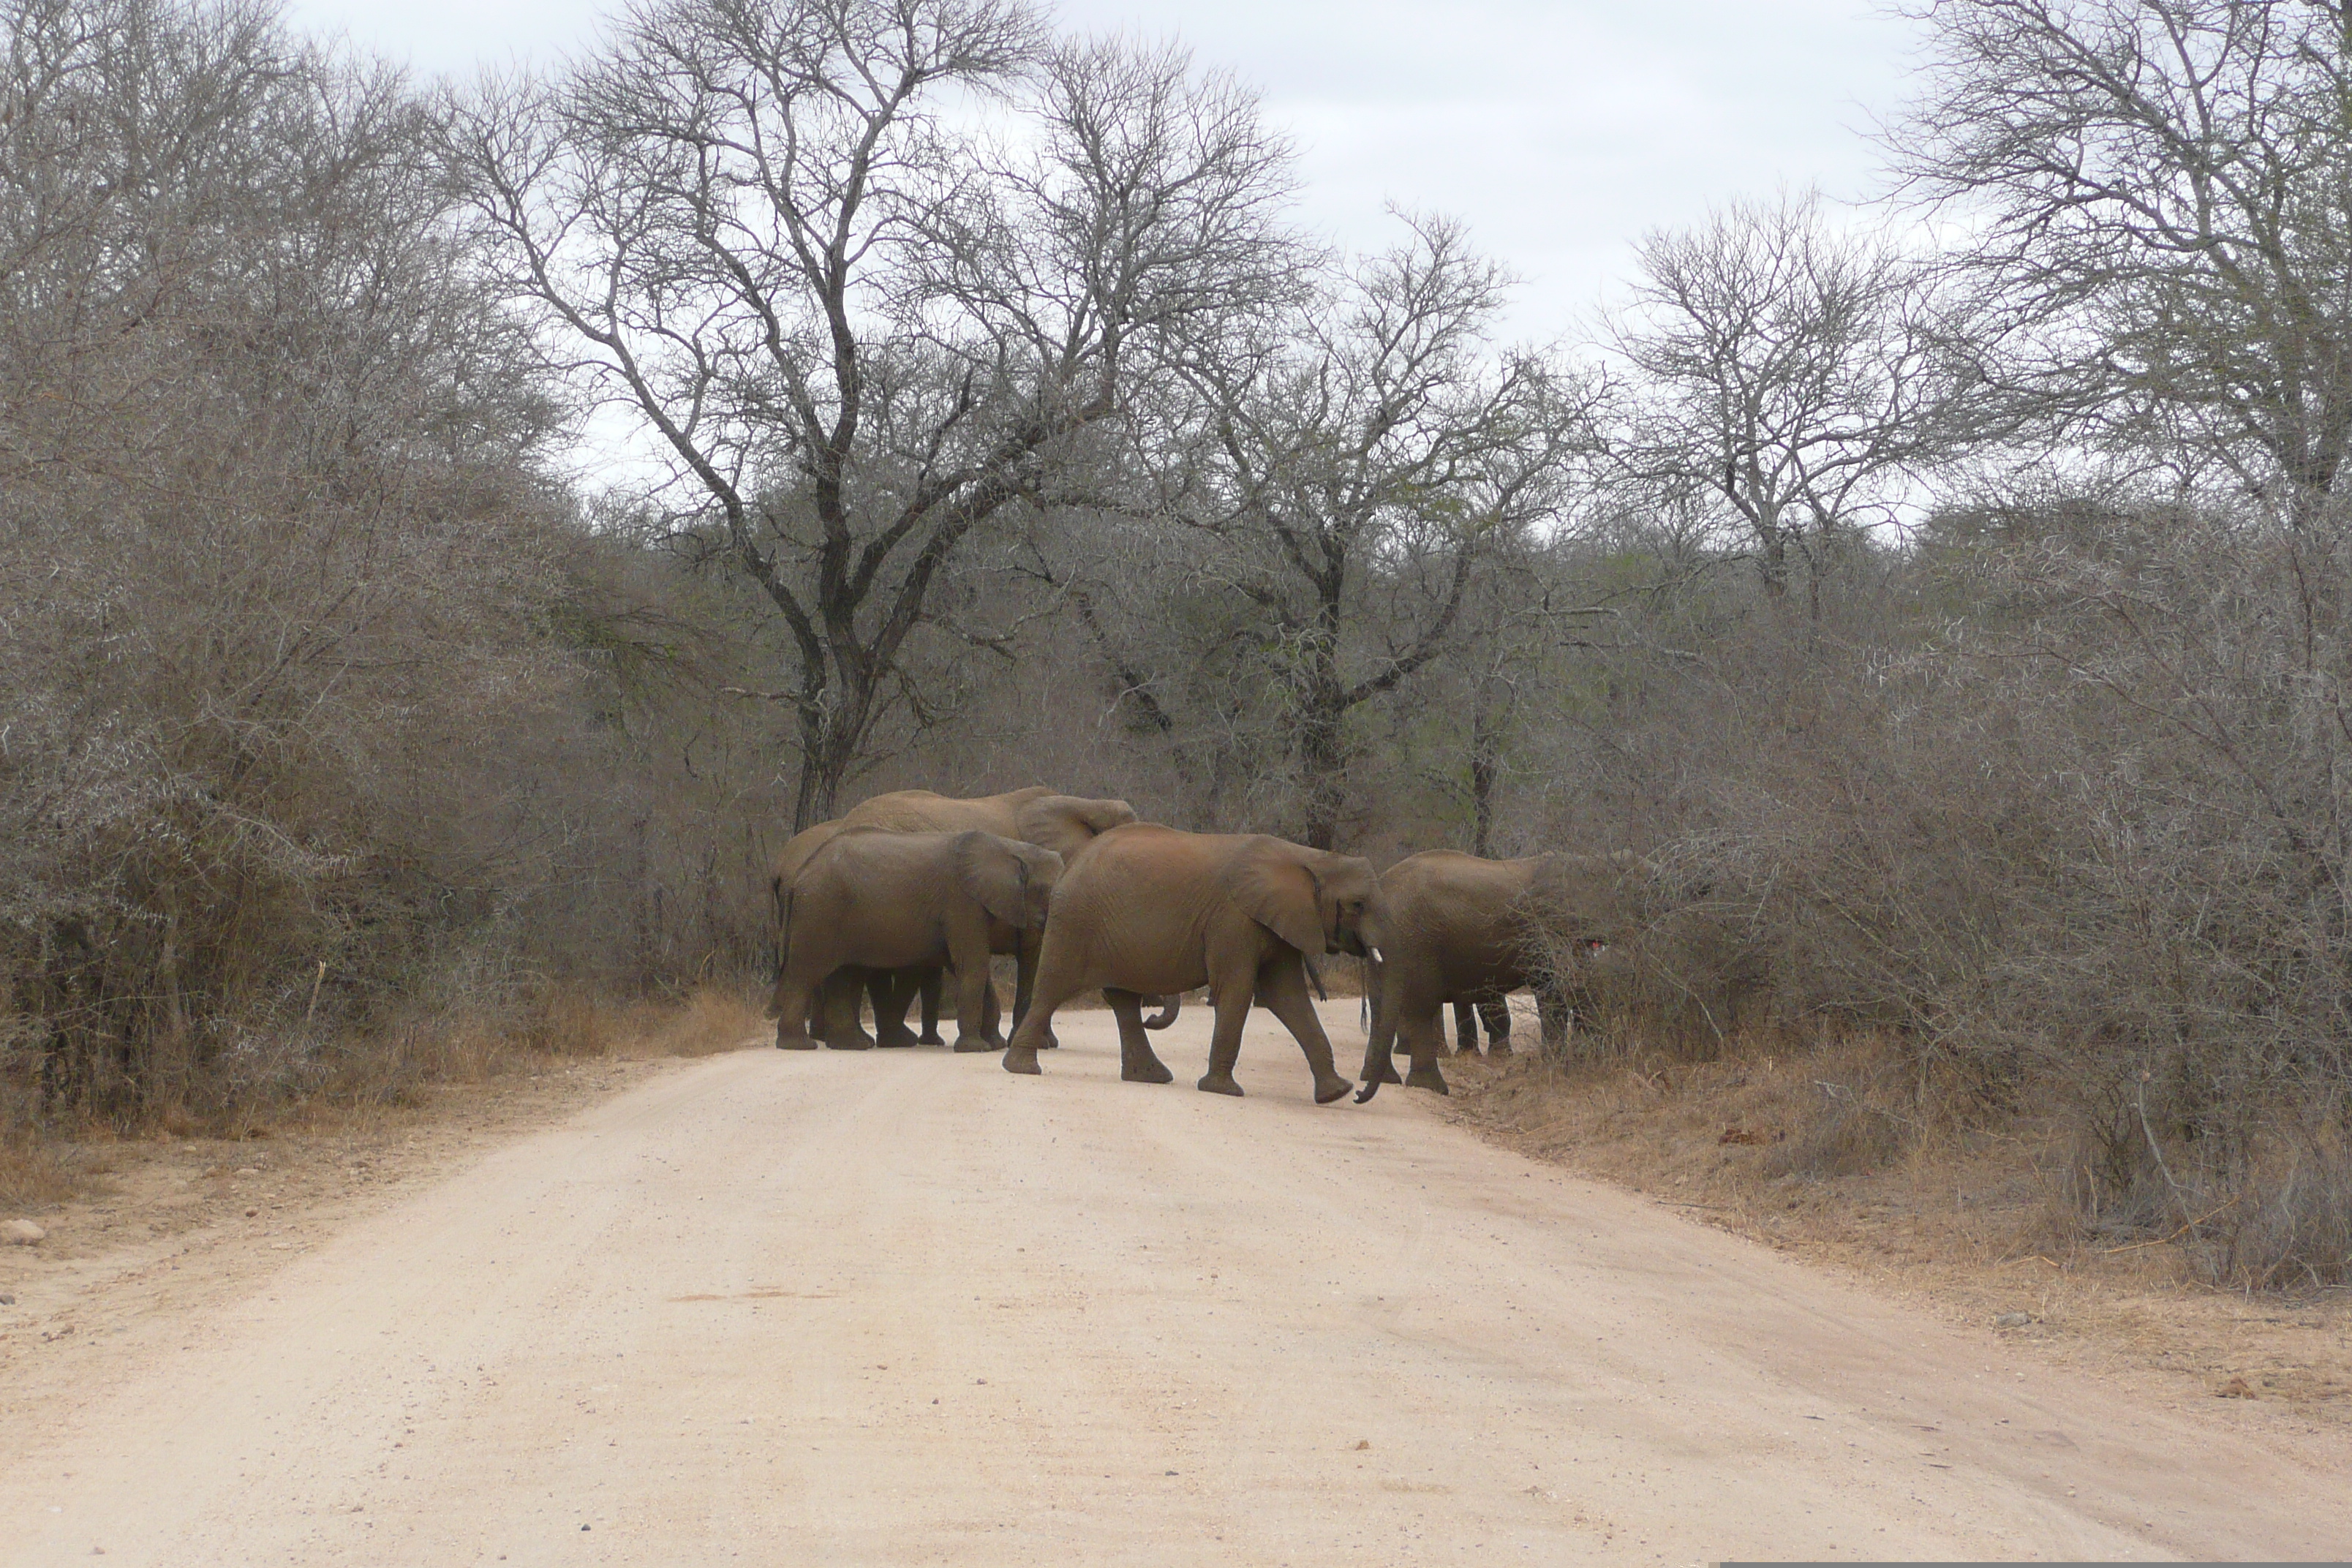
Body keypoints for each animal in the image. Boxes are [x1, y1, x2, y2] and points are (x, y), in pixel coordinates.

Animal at [771, 832, 1068, 1053]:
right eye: (1046, 891)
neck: (1011, 848)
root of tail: (798, 875)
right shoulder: (962, 903)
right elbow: (972, 964)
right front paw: (977, 1049)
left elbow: (973, 968)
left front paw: (993, 1046)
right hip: (820, 910)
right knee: (805, 974)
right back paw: (800, 1046)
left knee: (843, 977)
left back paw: (853, 1045)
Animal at [997, 827, 1373, 1109]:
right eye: (1358, 905)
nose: (1359, 1095)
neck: (1308, 857)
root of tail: (1070, 864)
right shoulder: (1233, 920)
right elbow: (1236, 991)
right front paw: (1223, 1092)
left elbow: (1289, 997)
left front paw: (1336, 1093)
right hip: (1075, 922)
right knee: (1053, 989)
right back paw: (1022, 1069)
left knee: (1123, 1001)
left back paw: (1150, 1077)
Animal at [1354, 851, 1646, 1100]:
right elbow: (1554, 989)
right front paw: (1555, 1065)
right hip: (1416, 940)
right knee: (1420, 1005)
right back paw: (1431, 1087)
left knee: (1382, 1002)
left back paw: (1381, 1079)